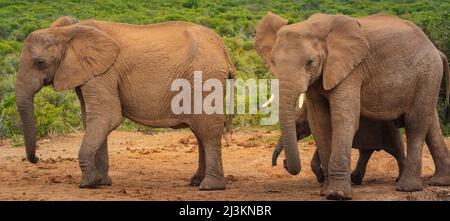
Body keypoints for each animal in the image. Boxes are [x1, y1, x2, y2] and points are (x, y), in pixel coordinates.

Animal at [15, 16, 236, 190]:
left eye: (40, 63)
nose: (37, 159)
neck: (67, 32)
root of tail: (224, 52)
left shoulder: (104, 72)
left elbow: (106, 117)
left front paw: (88, 183)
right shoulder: (90, 73)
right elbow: (91, 120)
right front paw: (102, 183)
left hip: (205, 76)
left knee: (207, 130)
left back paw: (209, 187)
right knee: (200, 131)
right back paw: (196, 182)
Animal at [268, 103, 406, 185]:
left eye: (299, 125)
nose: (281, 163)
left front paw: (321, 179)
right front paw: (322, 179)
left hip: (389, 129)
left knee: (397, 152)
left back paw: (399, 180)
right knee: (365, 152)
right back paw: (354, 180)